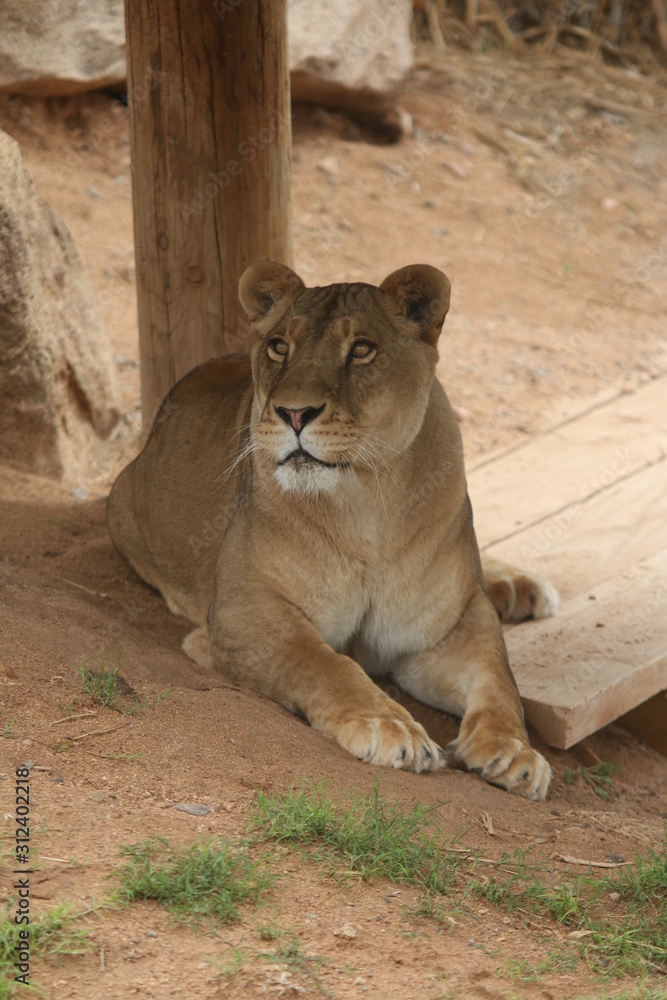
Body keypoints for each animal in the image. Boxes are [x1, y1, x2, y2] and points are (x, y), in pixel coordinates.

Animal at [108, 262, 559, 799]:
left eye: (361, 349)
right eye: (279, 346)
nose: (294, 413)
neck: (367, 504)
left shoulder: (449, 628)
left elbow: (500, 680)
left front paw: (515, 753)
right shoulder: (241, 612)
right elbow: (326, 664)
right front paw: (391, 727)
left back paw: (519, 587)